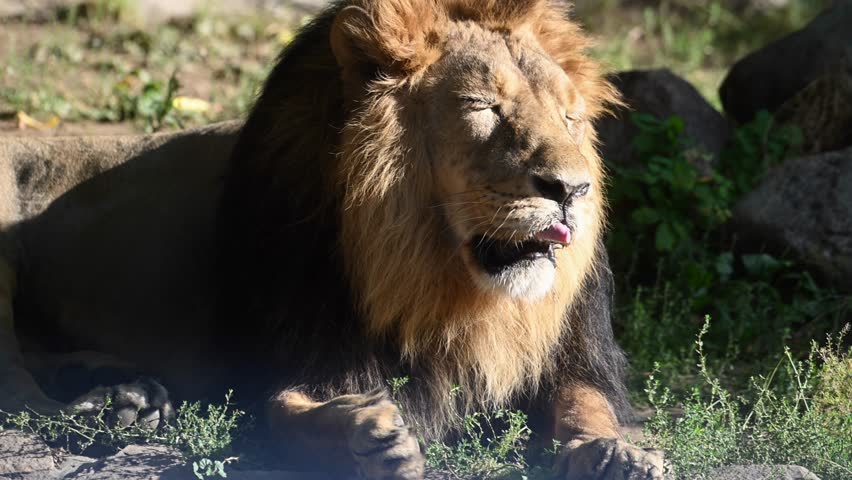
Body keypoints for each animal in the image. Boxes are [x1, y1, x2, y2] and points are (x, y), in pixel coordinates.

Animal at [0, 1, 664, 479]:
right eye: (483, 107)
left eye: (570, 118)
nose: (572, 189)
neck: (448, 286)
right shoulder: (280, 349)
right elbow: (285, 410)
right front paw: (365, 440)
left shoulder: (570, 353)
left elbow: (586, 401)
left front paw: (617, 455)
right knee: (18, 391)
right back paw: (98, 410)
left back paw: (128, 394)